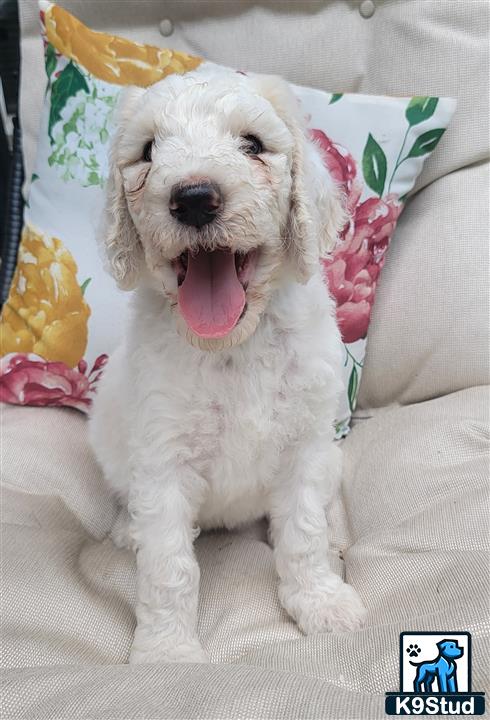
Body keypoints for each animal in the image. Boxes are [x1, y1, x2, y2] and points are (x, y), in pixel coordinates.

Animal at [90, 67, 366, 664]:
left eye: (253, 145)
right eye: (148, 151)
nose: (194, 198)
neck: (232, 346)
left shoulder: (305, 445)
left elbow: (304, 532)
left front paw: (322, 601)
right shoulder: (163, 460)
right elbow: (168, 566)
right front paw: (168, 655)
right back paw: (125, 530)